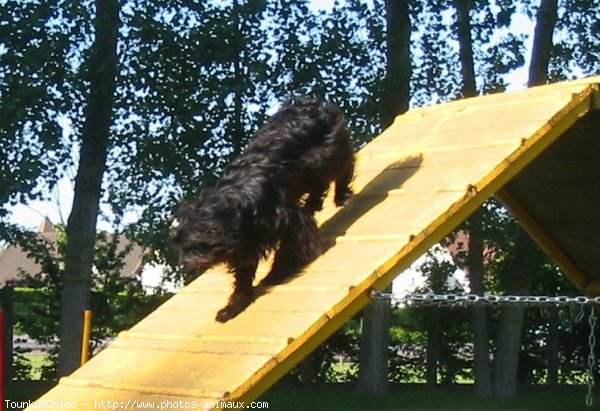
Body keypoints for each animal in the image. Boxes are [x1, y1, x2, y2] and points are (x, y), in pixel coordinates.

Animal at [171, 98, 354, 324]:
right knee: (318, 184)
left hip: (325, 153)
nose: (183, 265)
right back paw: (313, 203)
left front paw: (278, 273)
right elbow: (243, 276)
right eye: (181, 248)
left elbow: (290, 247)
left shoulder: (287, 220)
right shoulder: (245, 245)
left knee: (343, 163)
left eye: (192, 246)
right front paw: (234, 306)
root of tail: (307, 103)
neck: (233, 213)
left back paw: (341, 194)